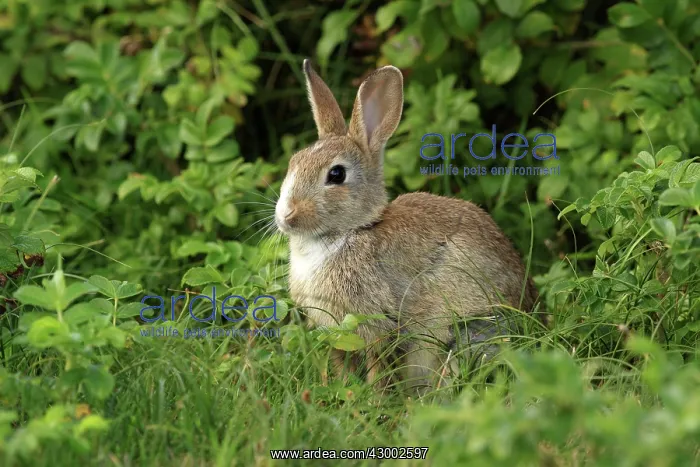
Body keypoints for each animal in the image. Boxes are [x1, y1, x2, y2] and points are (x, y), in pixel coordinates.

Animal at [275, 59, 538, 394]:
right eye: (294, 162)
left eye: (336, 175)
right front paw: (344, 392)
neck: (352, 231)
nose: (286, 215)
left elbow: (379, 367)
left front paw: (374, 399)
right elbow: (342, 364)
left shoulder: (378, 322)